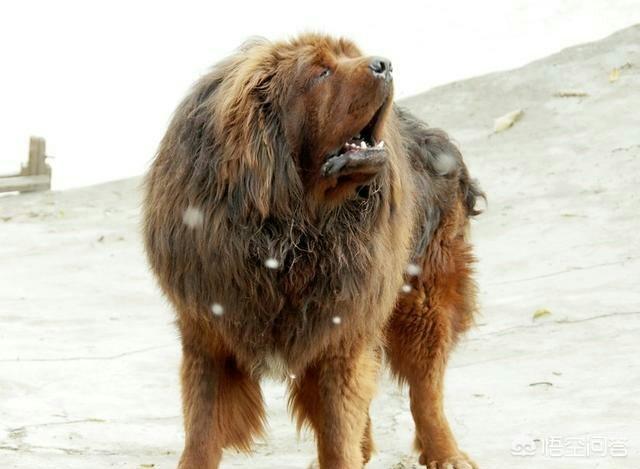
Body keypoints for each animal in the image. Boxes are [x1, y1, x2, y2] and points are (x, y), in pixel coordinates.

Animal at [142, 33, 482, 468]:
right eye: (321, 72)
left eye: (351, 56)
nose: (385, 64)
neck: (290, 228)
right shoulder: (209, 333)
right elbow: (202, 431)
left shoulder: (340, 331)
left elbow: (338, 431)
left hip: (422, 300)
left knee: (425, 388)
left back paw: (445, 453)